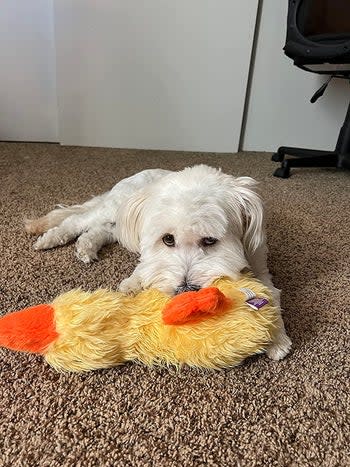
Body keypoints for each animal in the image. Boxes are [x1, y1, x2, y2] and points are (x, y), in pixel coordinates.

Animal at [26, 165, 292, 362]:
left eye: (210, 240)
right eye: (168, 239)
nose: (186, 291)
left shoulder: (259, 263)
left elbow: (271, 294)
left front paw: (277, 338)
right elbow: (146, 264)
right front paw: (133, 283)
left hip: (118, 222)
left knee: (101, 231)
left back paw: (86, 246)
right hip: (114, 209)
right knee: (77, 221)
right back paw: (48, 237)